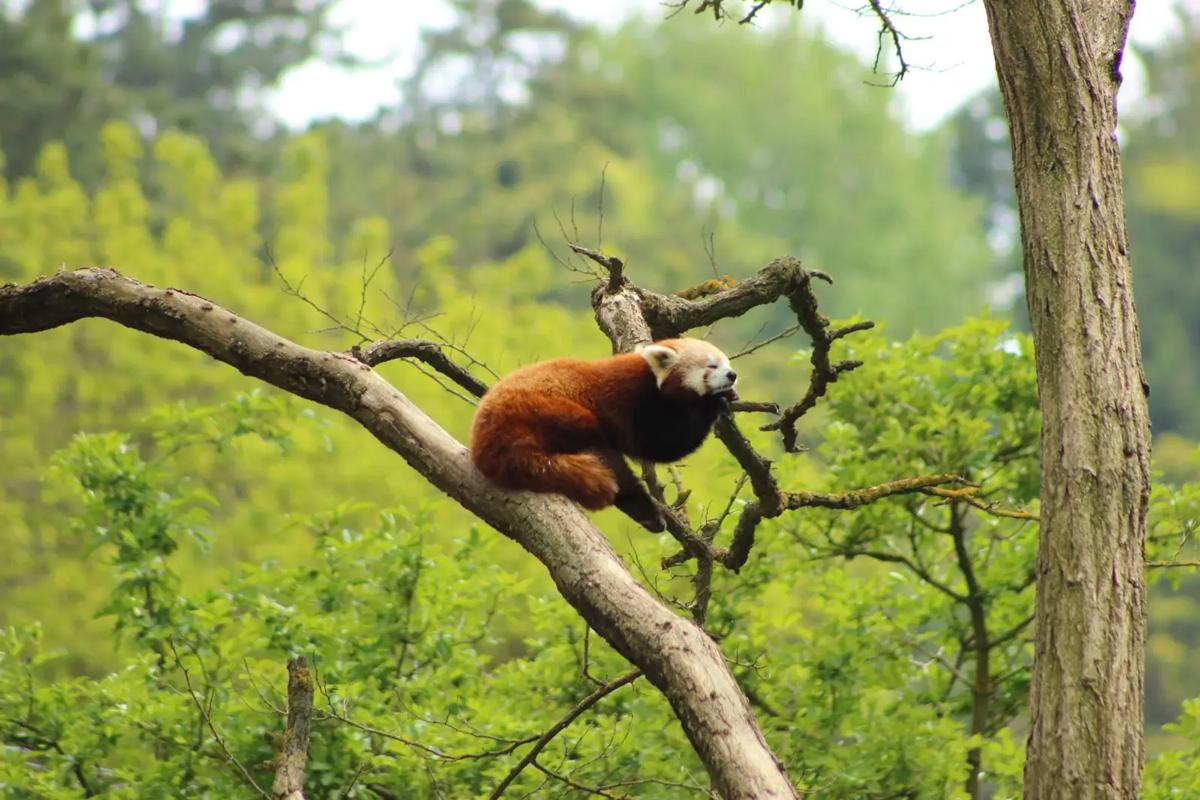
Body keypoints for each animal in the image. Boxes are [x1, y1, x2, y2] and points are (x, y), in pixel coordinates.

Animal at [470, 338, 739, 532]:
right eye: (711, 366)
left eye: (727, 363)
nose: (732, 375)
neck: (647, 375)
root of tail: (487, 442)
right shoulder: (631, 403)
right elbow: (662, 444)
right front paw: (713, 403)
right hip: (552, 411)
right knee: (609, 462)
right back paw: (645, 511)